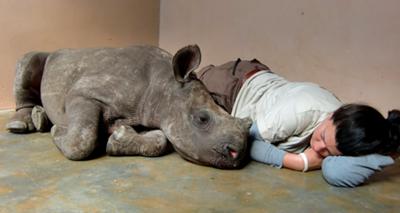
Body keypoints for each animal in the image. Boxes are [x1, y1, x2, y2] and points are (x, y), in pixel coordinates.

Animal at [5, 45, 250, 170]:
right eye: (202, 119)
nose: (237, 154)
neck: (165, 83)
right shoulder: (83, 93)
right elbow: (81, 141)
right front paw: (58, 131)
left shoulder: (145, 111)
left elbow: (160, 140)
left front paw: (119, 138)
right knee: (28, 60)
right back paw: (21, 125)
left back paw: (41, 119)